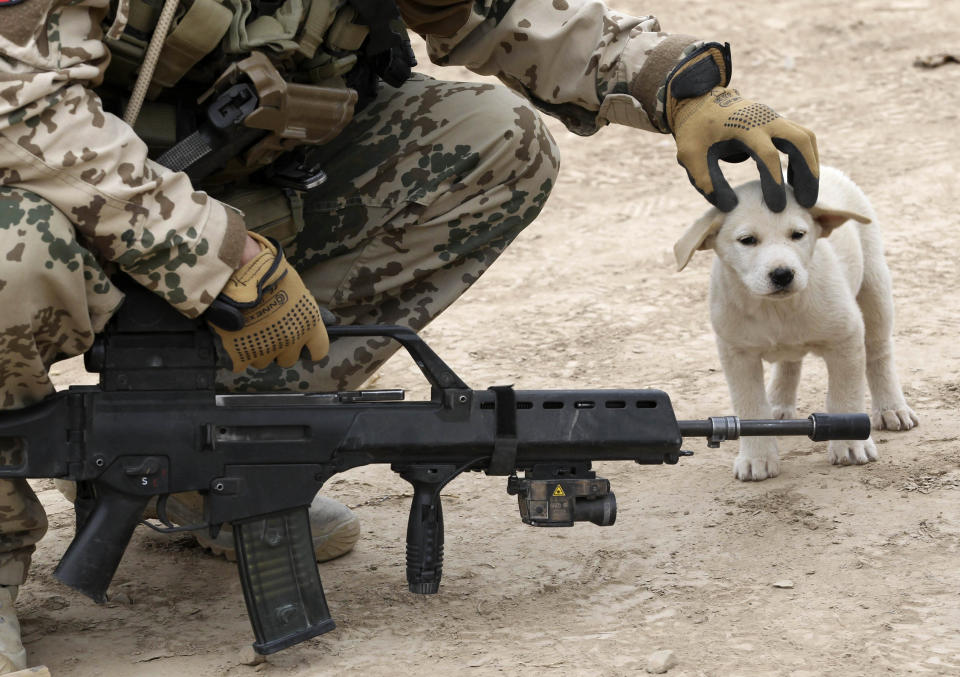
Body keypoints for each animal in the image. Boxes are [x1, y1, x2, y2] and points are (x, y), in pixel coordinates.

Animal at [672, 166, 920, 478]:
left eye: (798, 235)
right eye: (747, 240)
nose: (782, 274)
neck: (776, 309)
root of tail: (827, 169)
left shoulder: (846, 337)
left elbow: (845, 395)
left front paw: (850, 444)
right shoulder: (736, 353)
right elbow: (750, 406)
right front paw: (757, 458)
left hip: (874, 286)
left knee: (879, 353)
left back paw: (891, 408)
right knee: (790, 362)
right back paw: (778, 403)